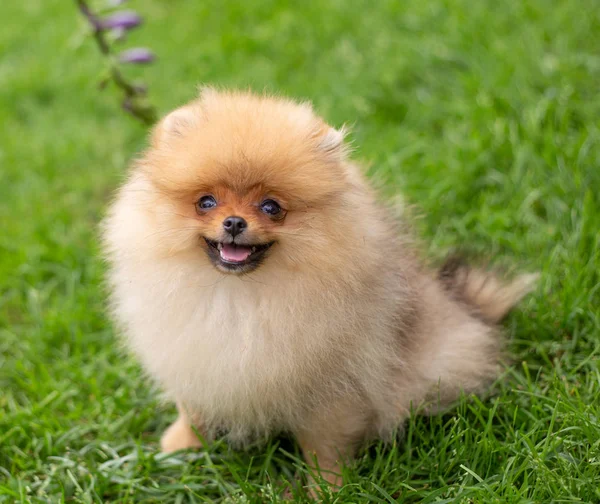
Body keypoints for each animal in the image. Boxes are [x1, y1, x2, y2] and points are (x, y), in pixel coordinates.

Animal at [101, 86, 536, 492]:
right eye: (206, 202)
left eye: (272, 207)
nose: (235, 222)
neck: (239, 295)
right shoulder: (194, 358)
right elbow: (191, 409)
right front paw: (179, 447)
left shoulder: (335, 388)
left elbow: (325, 445)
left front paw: (327, 488)